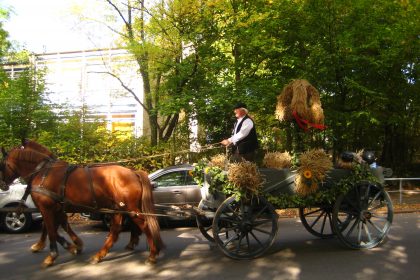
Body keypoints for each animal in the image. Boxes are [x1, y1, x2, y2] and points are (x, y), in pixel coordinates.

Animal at [0, 147, 162, 266]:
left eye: (2, 164)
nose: (2, 185)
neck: (43, 173)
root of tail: (133, 172)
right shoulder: (55, 208)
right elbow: (56, 227)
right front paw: (73, 245)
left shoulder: (47, 208)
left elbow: (51, 230)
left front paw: (53, 255)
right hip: (118, 208)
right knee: (116, 231)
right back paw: (100, 255)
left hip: (130, 208)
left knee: (145, 226)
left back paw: (152, 254)